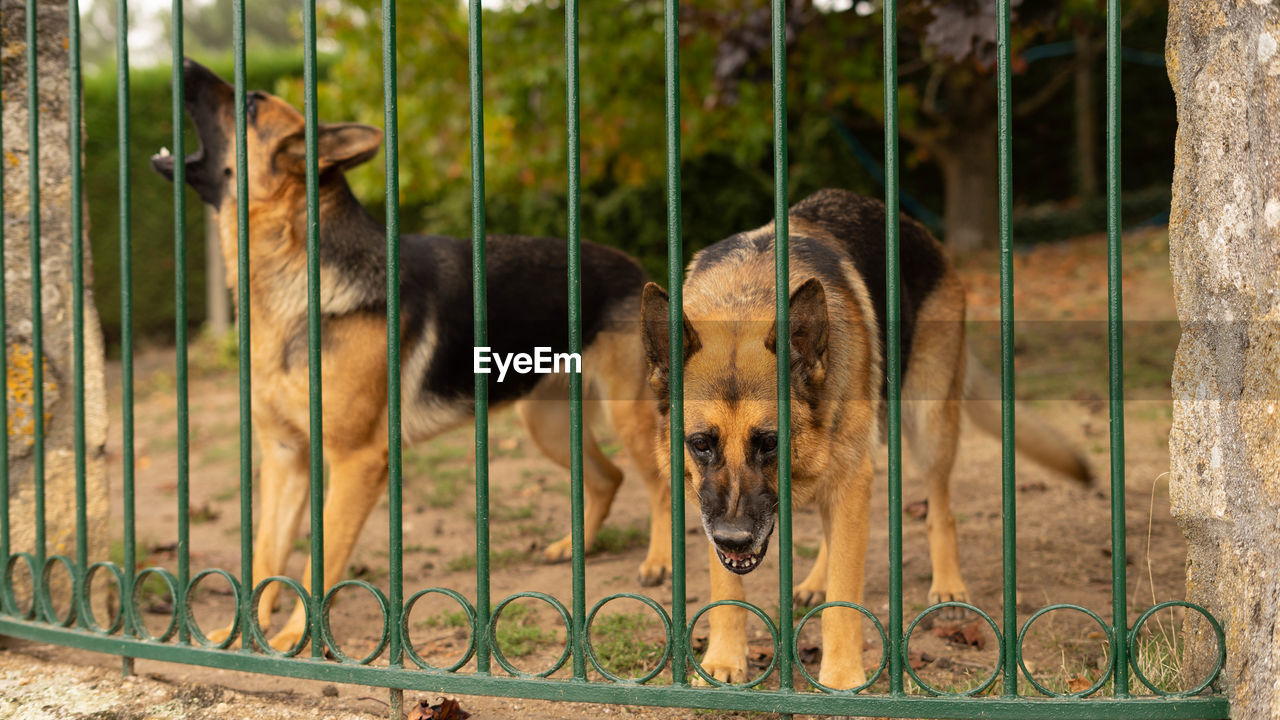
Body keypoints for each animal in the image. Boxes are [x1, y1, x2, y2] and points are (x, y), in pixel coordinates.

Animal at [152, 58, 670, 648]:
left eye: (253, 103)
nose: (183, 63)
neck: (295, 278)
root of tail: (632, 265)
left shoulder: (356, 462)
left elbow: (319, 561)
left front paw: (290, 640)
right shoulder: (285, 459)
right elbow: (265, 556)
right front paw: (245, 638)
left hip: (628, 418)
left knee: (658, 482)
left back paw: (659, 560)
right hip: (547, 424)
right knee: (609, 478)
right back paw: (574, 547)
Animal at [640, 188, 1090, 686]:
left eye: (770, 442)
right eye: (701, 443)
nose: (734, 539)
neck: (745, 301)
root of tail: (919, 230)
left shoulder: (852, 479)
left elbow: (845, 595)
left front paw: (840, 675)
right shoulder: (710, 504)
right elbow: (727, 589)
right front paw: (723, 659)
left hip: (928, 426)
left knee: (940, 509)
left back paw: (948, 587)